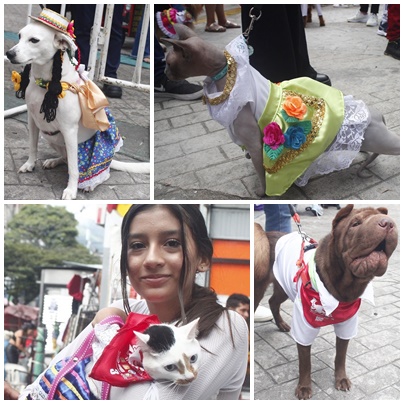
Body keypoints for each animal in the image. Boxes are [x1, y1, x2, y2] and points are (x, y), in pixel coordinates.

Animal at [5, 8, 150, 200]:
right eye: (20, 36)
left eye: (34, 40)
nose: (9, 54)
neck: (47, 84)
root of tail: (110, 160)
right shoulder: (32, 120)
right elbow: (32, 146)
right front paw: (30, 164)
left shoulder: (69, 129)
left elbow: (74, 168)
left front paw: (71, 190)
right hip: (53, 139)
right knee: (66, 158)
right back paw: (53, 161)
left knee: (92, 170)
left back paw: (89, 184)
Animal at [256, 204, 398, 400]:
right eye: (355, 224)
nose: (388, 223)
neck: (343, 289)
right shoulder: (304, 326)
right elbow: (305, 362)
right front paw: (304, 387)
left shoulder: (347, 324)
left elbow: (341, 355)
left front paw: (341, 379)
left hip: (282, 286)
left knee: (273, 301)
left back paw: (281, 324)